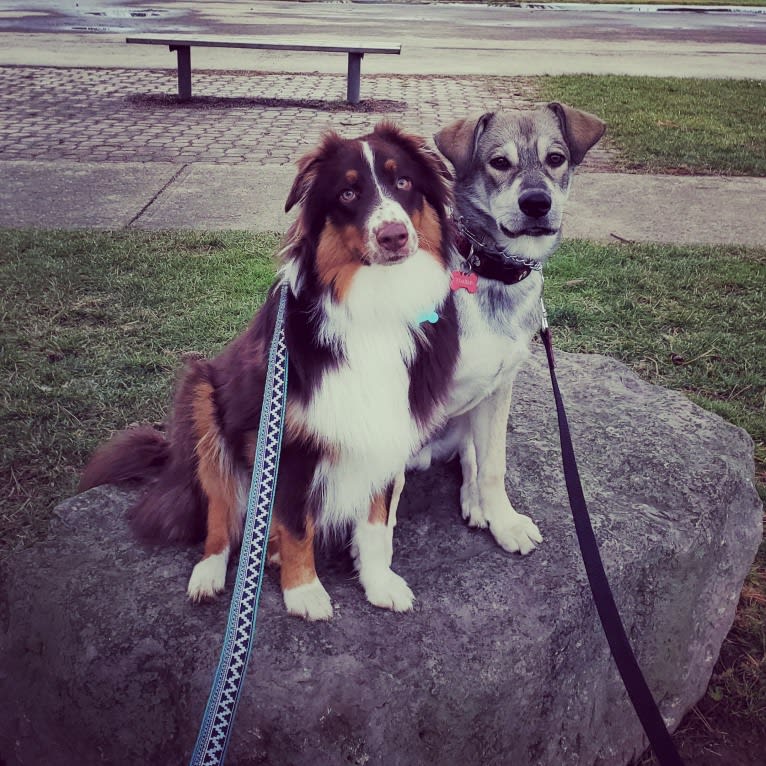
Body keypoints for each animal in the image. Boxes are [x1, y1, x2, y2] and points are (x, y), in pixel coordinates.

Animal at [81, 123, 460, 620]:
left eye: (404, 183)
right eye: (348, 192)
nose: (394, 235)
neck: (377, 305)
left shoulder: (390, 427)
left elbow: (376, 521)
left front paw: (379, 582)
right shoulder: (287, 441)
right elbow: (296, 524)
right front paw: (304, 592)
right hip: (203, 401)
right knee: (221, 519)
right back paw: (210, 574)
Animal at [412, 102, 608, 560]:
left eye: (556, 158)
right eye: (499, 163)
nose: (536, 203)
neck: (490, 271)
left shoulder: (498, 386)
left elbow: (493, 465)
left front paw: (503, 520)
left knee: (471, 455)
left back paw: (475, 503)